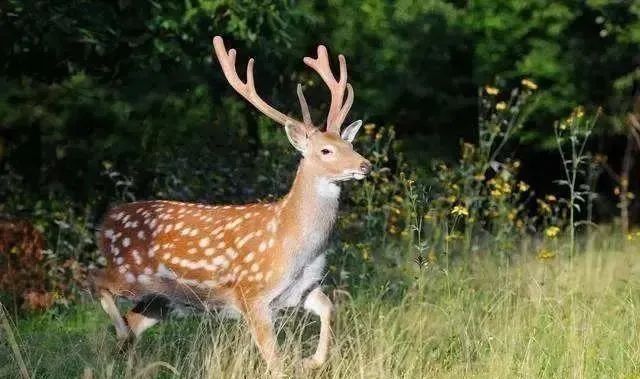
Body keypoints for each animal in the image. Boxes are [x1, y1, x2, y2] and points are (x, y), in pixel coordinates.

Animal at [90, 36, 370, 372]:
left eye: (350, 144)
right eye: (326, 150)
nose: (365, 165)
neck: (296, 244)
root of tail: (105, 222)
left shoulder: (303, 288)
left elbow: (329, 308)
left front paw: (310, 360)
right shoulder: (252, 293)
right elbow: (274, 360)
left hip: (164, 299)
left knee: (132, 321)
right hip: (131, 271)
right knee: (95, 279)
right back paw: (119, 332)